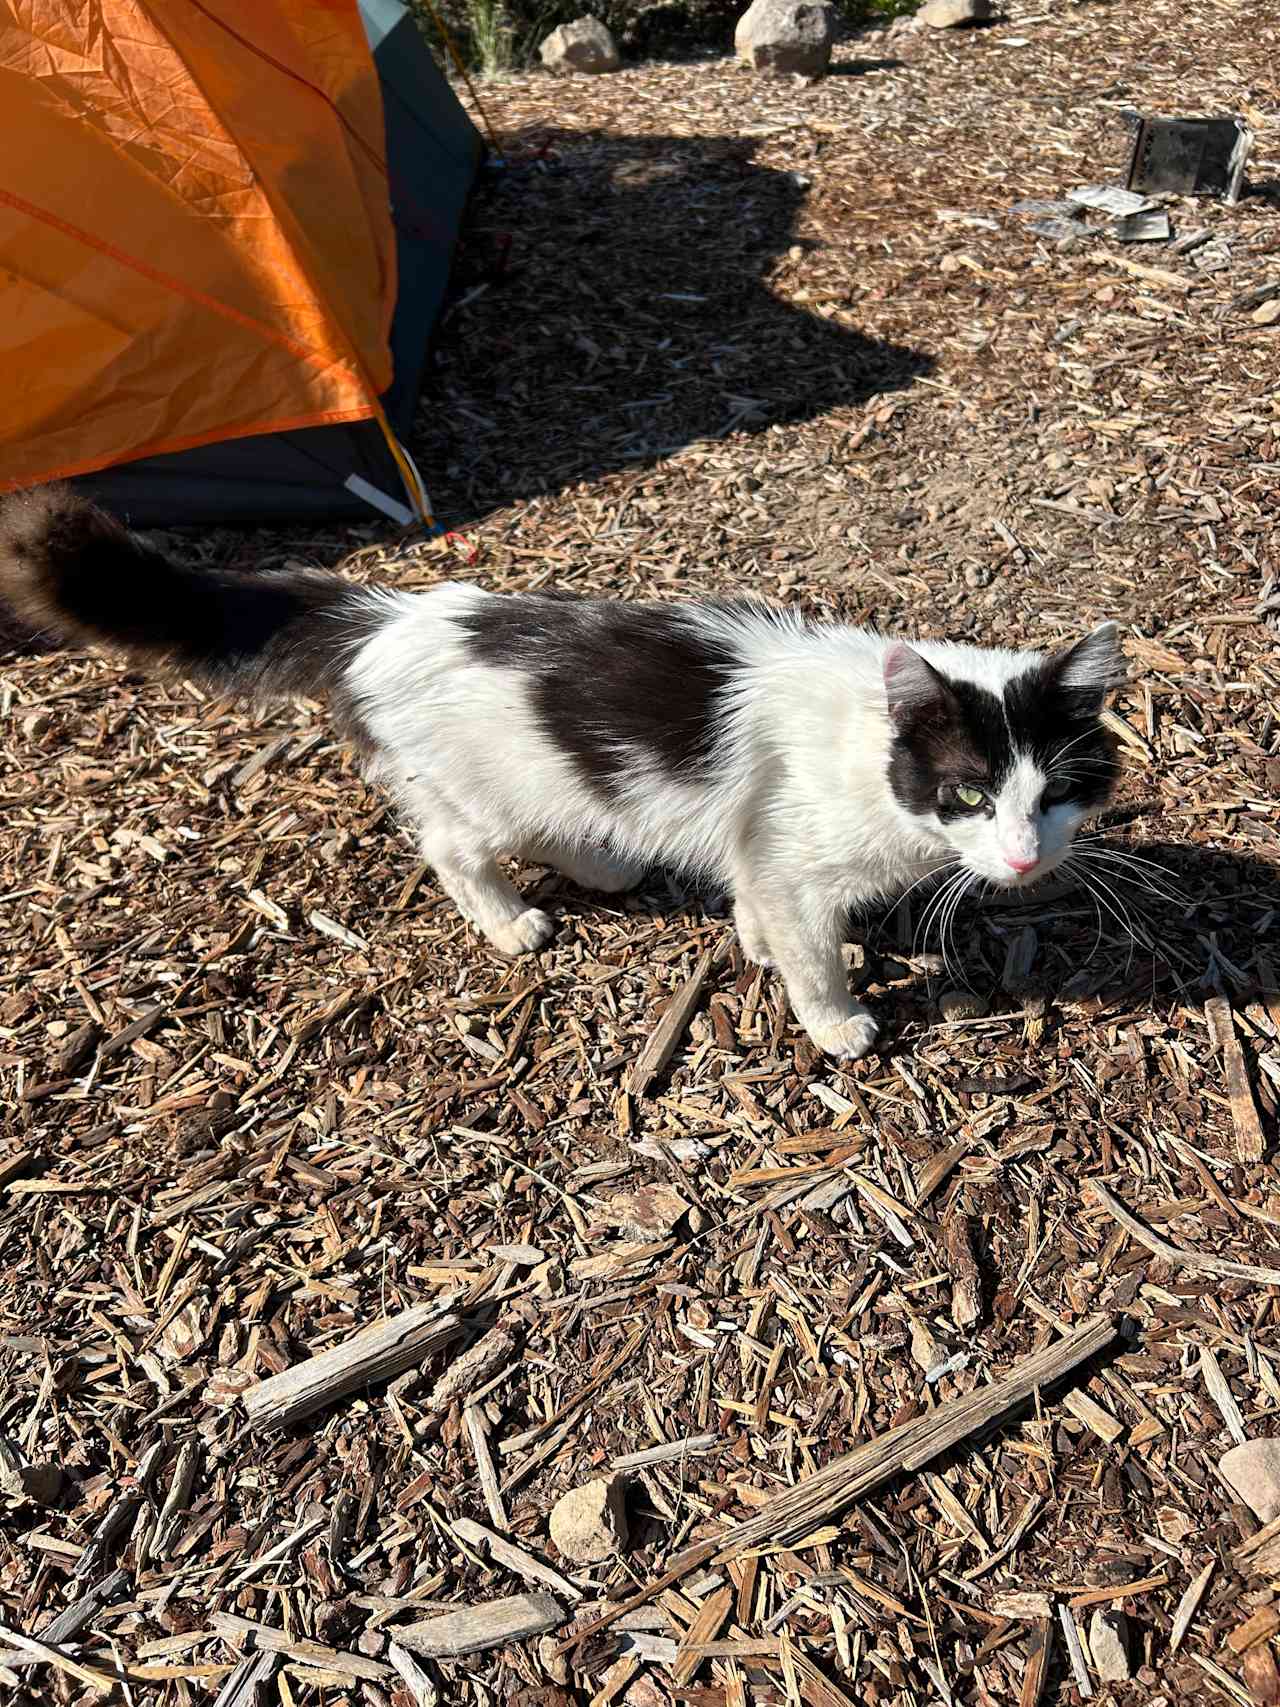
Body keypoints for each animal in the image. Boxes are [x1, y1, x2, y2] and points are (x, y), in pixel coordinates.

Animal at [0, 481, 1119, 1058]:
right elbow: (809, 953)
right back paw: (508, 923)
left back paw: (604, 868)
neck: (863, 749)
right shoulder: (795, 858)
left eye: (1056, 794)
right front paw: (836, 1020)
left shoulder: (761, 850)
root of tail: (385, 614)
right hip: (471, 794)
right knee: (456, 851)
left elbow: (757, 905)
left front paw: (753, 946)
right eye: (967, 794)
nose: (1025, 861)